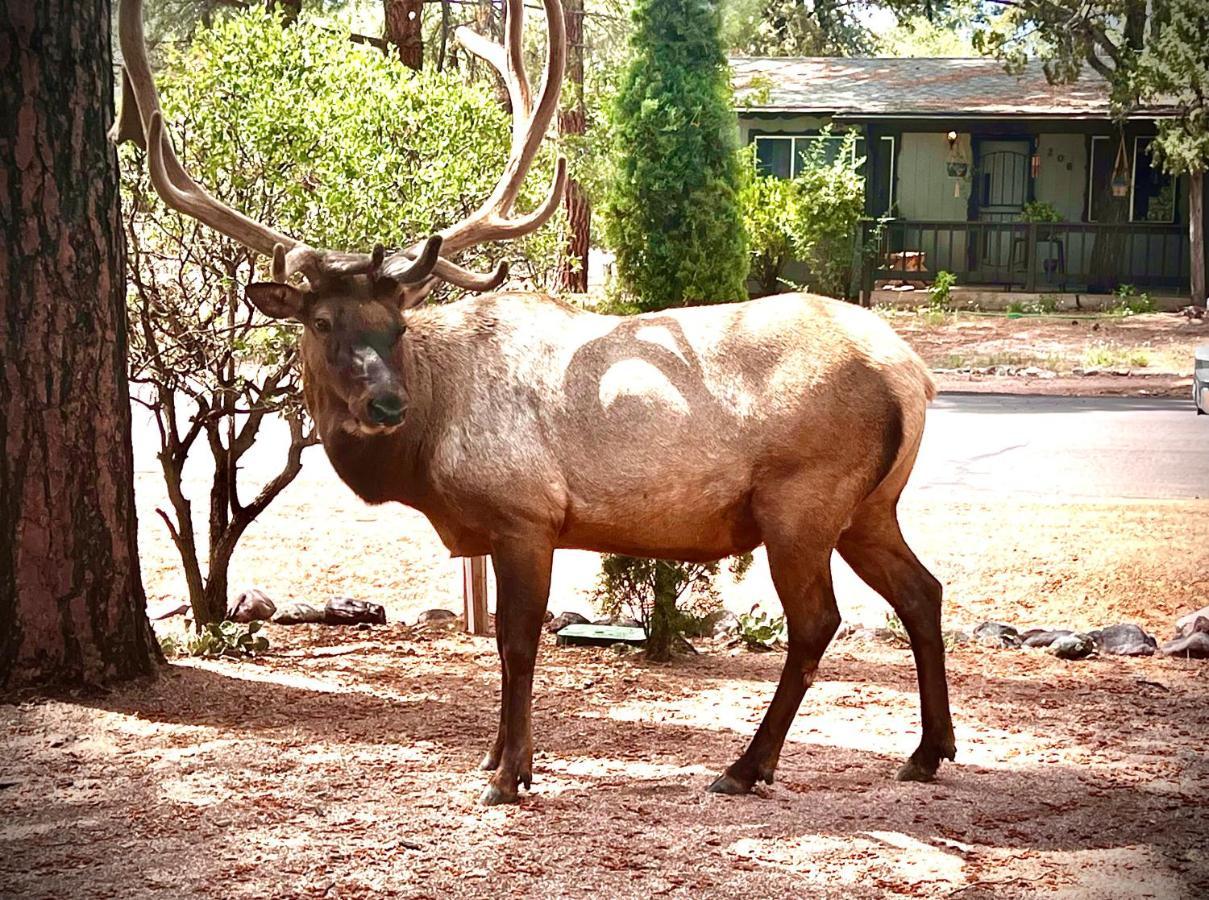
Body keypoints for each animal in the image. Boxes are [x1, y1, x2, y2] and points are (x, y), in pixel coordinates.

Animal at [115, 0, 952, 803]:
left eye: (395, 323)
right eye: (322, 323)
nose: (385, 405)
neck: (427, 453)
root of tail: (910, 372)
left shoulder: (526, 514)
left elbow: (517, 646)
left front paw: (509, 774)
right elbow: (499, 645)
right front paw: (492, 757)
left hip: (801, 499)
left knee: (816, 622)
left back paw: (746, 767)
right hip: (869, 506)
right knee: (923, 592)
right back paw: (925, 752)